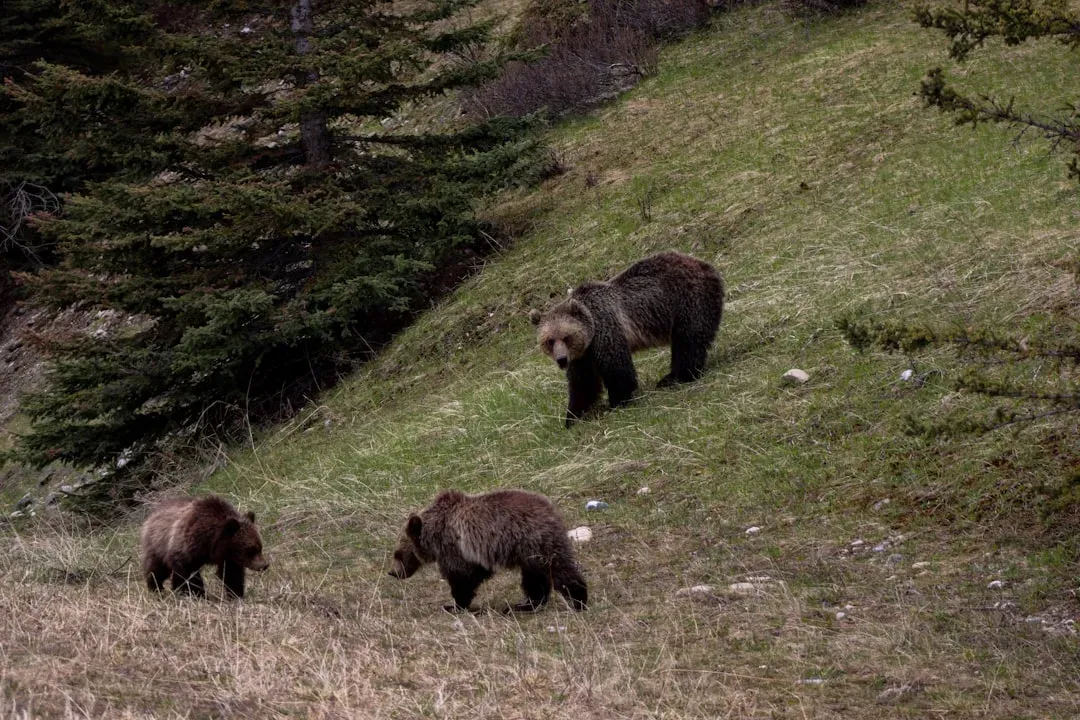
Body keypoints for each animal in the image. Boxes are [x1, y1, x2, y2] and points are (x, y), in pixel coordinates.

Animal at [140, 495, 270, 599]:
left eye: (260, 547)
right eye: (251, 550)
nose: (264, 565)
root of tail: (151, 515)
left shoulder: (227, 557)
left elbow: (232, 573)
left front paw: (236, 594)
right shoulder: (185, 547)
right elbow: (188, 573)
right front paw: (197, 593)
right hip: (157, 544)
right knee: (157, 569)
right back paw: (156, 588)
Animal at [388, 489, 588, 613]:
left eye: (397, 554)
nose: (392, 572)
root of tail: (552, 511)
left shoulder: (454, 548)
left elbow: (461, 578)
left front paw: (454, 605)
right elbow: (476, 573)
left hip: (534, 542)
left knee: (558, 569)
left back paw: (578, 599)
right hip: (529, 552)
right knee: (534, 578)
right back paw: (525, 605)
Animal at [531, 250, 724, 427]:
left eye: (566, 337)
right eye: (550, 341)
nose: (562, 359)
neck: (590, 331)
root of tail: (705, 264)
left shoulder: (606, 330)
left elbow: (618, 370)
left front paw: (617, 402)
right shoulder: (582, 356)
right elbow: (583, 384)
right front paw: (572, 417)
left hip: (686, 299)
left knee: (688, 341)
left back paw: (675, 377)